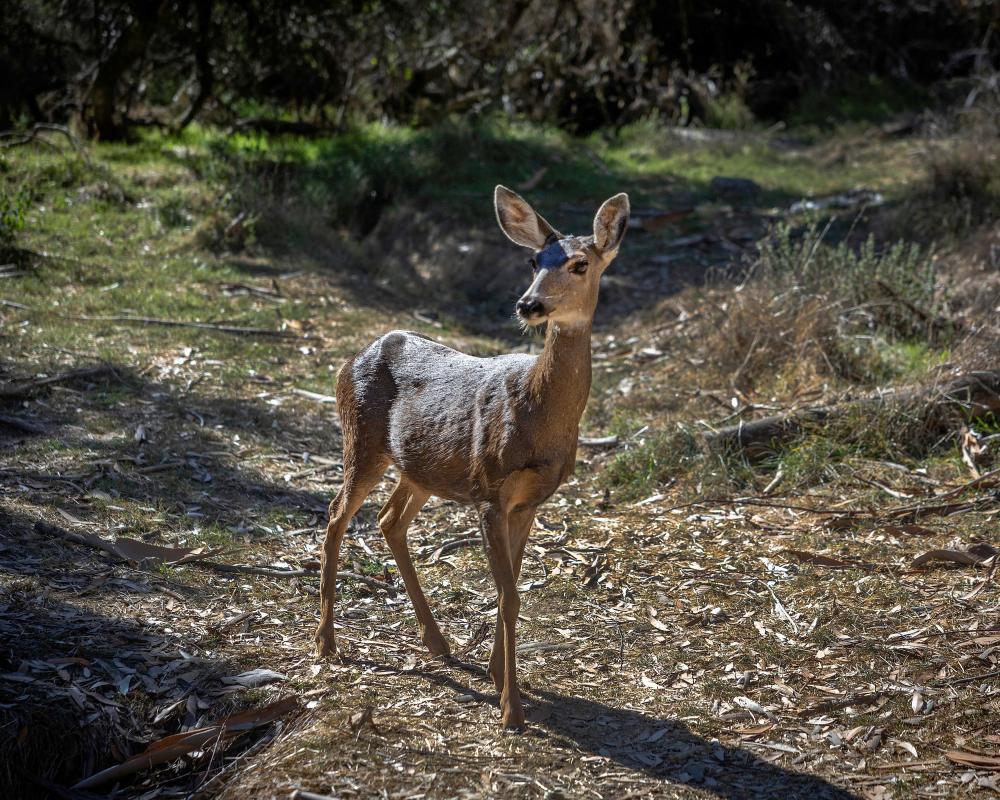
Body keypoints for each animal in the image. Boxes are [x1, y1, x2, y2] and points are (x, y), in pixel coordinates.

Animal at [314, 185, 630, 730]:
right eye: (532, 260)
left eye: (580, 264)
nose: (529, 304)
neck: (539, 417)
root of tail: (355, 355)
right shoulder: (490, 490)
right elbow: (509, 594)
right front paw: (511, 708)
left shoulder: (529, 502)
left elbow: (513, 587)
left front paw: (496, 672)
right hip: (362, 439)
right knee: (336, 516)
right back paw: (326, 642)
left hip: (420, 467)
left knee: (388, 519)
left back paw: (437, 642)